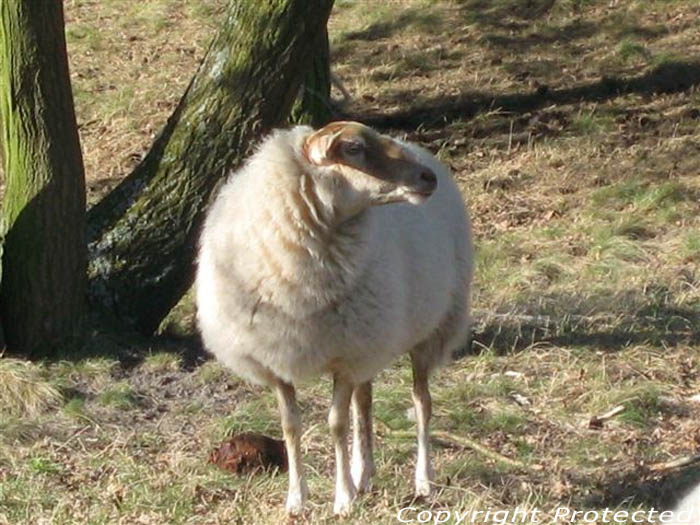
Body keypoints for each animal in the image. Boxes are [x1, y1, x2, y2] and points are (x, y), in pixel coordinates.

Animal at [194, 121, 474, 512]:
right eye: (353, 148)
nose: (426, 178)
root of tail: (421, 148)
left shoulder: (344, 356)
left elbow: (336, 424)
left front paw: (342, 498)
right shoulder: (279, 359)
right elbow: (291, 427)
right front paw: (297, 499)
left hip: (430, 330)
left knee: (422, 402)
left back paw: (423, 480)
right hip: (373, 338)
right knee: (365, 402)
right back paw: (364, 475)